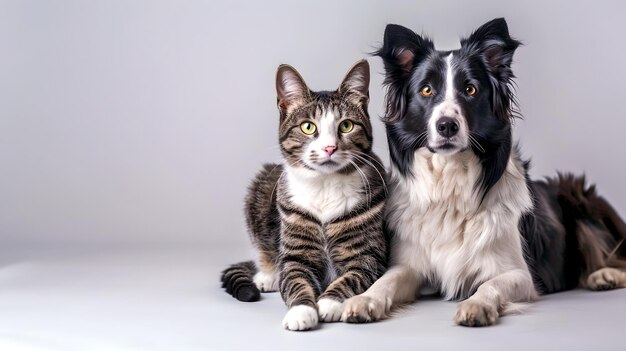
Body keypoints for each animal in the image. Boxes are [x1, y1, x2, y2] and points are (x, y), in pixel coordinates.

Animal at [219, 59, 386, 332]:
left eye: (346, 125)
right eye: (308, 127)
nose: (329, 147)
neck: (325, 185)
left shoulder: (368, 255)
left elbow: (352, 277)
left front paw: (329, 302)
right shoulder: (296, 253)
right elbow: (295, 278)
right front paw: (302, 311)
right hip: (262, 185)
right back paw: (268, 274)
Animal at [342, 17, 624, 328]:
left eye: (470, 90)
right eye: (426, 90)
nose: (447, 125)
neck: (450, 182)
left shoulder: (520, 275)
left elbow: (490, 284)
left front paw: (476, 306)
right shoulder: (410, 264)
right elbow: (387, 280)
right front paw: (365, 299)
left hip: (580, 200)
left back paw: (605, 274)